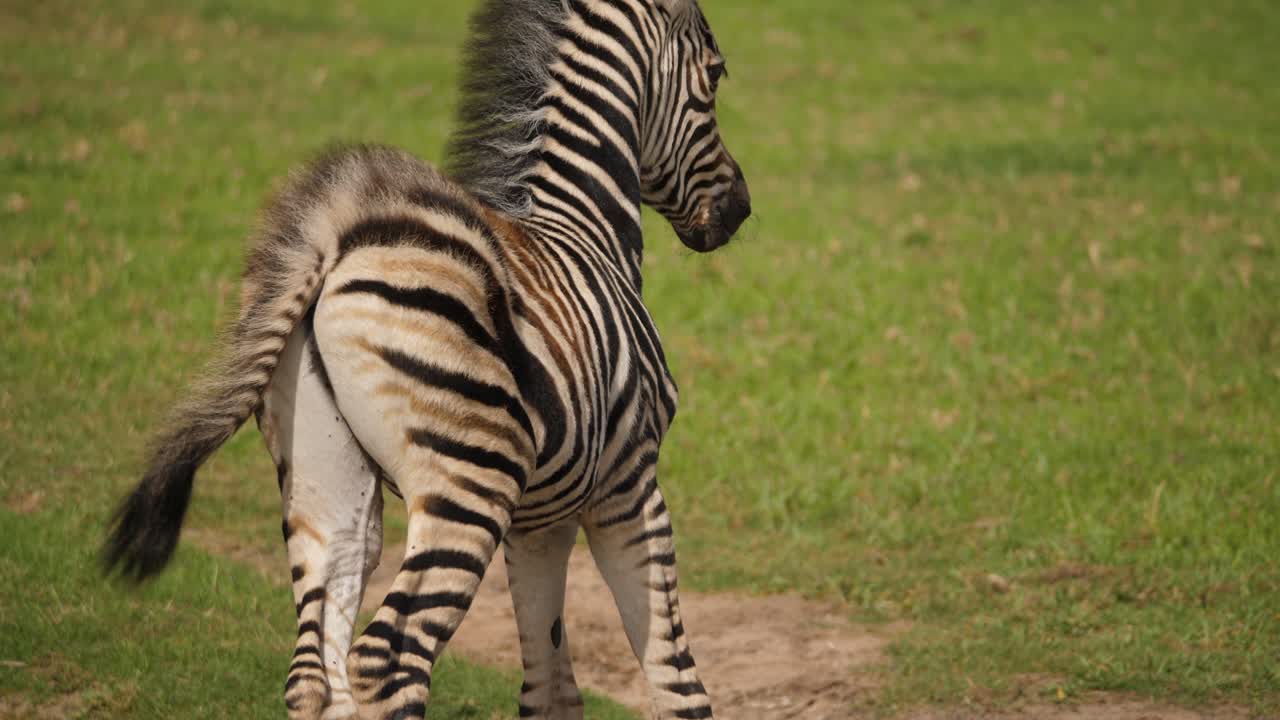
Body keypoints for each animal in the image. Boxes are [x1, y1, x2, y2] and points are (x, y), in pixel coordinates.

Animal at [103, 0, 749, 718]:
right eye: (715, 76)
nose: (741, 209)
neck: (585, 228)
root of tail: (335, 234)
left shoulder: (540, 522)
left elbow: (550, 689)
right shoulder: (629, 484)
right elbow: (675, 678)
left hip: (325, 480)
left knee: (316, 672)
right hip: (469, 485)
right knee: (387, 659)